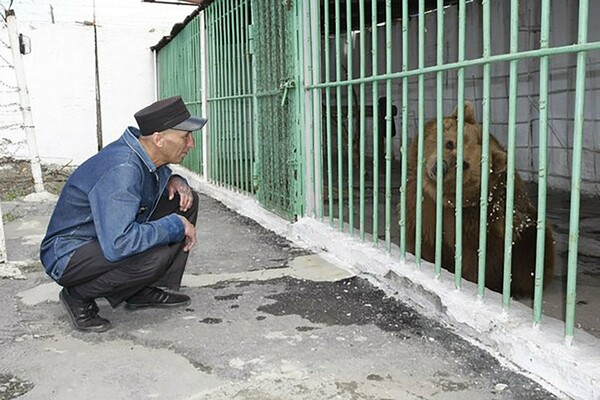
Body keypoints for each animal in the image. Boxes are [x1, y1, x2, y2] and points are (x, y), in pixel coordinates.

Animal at [400, 101, 556, 298]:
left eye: (465, 164)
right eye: (449, 143)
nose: (440, 167)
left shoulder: (479, 222)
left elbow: (477, 260)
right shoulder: (421, 204)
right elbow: (423, 238)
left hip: (528, 234)